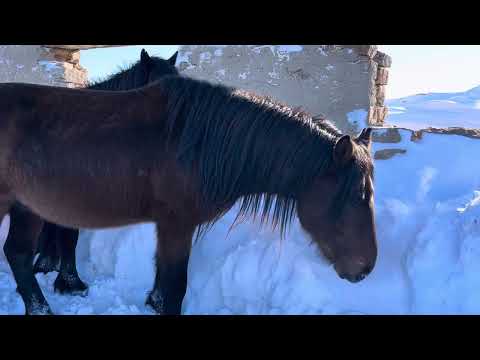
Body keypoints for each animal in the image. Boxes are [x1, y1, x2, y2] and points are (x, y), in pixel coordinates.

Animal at [0, 74, 376, 316]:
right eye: (356, 195)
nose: (365, 268)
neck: (196, 145)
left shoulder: (171, 228)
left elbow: (162, 282)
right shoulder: (176, 225)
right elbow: (174, 286)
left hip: (26, 208)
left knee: (18, 254)